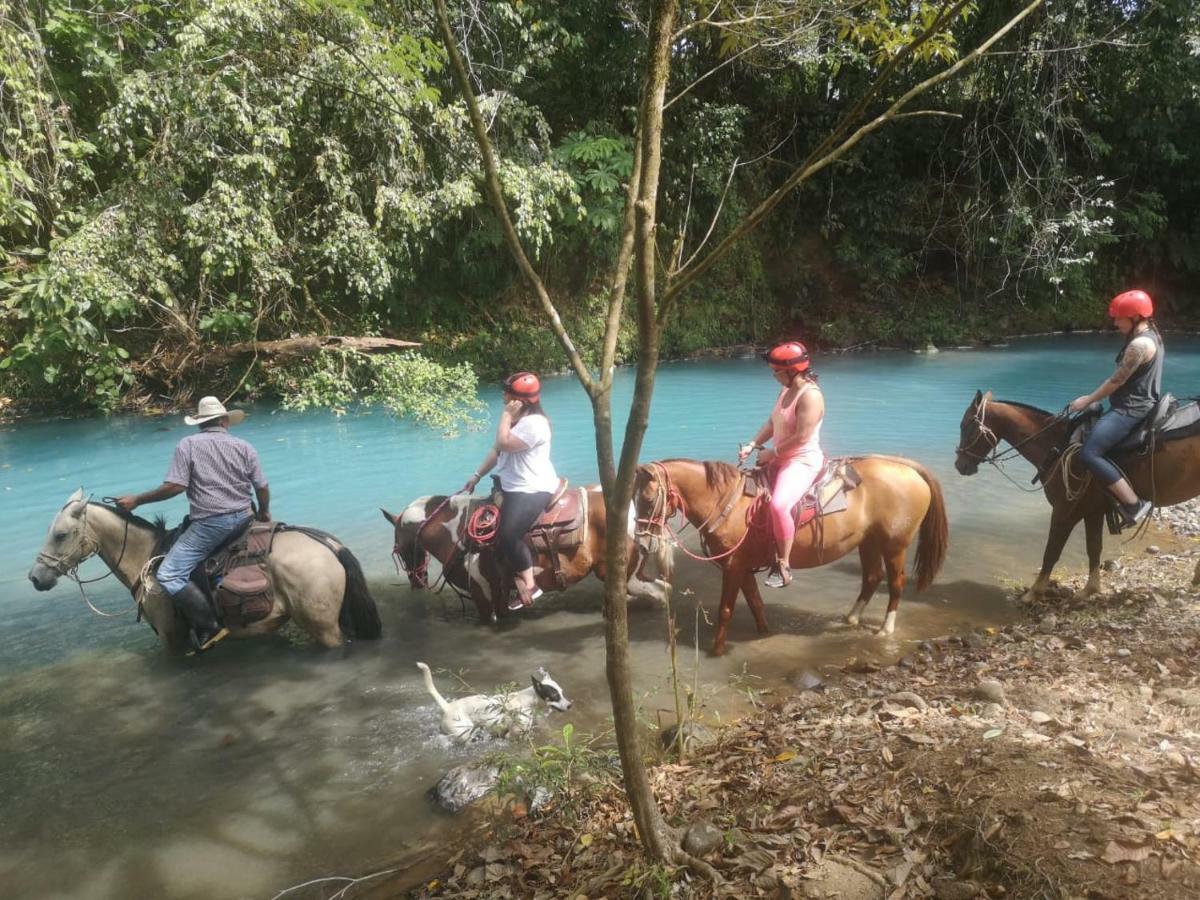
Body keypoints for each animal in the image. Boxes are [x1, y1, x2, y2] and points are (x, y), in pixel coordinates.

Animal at [28, 489, 381, 652]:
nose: (35, 578)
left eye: (60, 534)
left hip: (324, 627)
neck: (146, 556)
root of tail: (330, 545)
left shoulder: (171, 638)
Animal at [379, 489, 672, 624]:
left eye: (398, 549)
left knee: (660, 594)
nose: (416, 581)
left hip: (628, 576)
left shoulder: (483, 596)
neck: (458, 533)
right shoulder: (498, 595)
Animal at [417, 657, 576, 744]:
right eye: (555, 696)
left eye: (562, 692)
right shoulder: (512, 735)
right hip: (464, 733)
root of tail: (448, 707)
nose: (570, 706)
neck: (527, 701)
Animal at [633, 458, 950, 657]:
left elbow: (726, 610)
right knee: (872, 577)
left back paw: (886, 629)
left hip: (894, 545)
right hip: (868, 542)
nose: (642, 543)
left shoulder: (733, 568)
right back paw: (851, 618)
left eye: (647, 499)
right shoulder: (743, 568)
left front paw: (716, 650)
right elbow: (756, 603)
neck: (727, 502)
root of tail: (907, 468)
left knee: (896, 583)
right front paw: (764, 632)